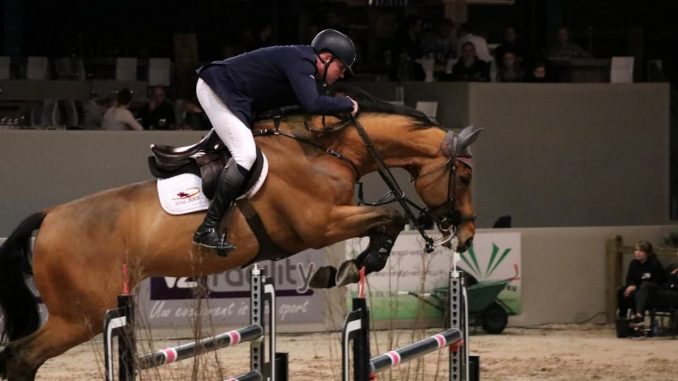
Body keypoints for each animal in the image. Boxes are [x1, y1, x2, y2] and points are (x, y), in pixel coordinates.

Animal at [0, 93, 478, 378]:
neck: (327, 151)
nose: (468, 235)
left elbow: (386, 222)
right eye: (465, 175)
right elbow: (392, 217)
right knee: (21, 355)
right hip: (80, 315)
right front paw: (352, 266)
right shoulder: (321, 224)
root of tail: (50, 217)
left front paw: (349, 267)